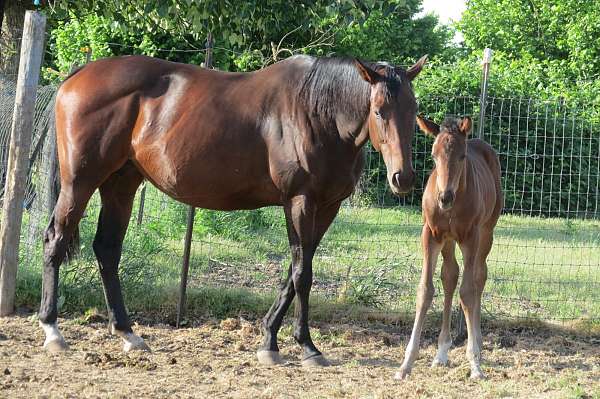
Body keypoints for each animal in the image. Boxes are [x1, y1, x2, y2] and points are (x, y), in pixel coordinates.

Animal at [37, 54, 428, 368]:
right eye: (378, 110)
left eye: (413, 112)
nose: (403, 177)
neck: (316, 113)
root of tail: (79, 75)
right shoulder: (300, 201)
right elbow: (303, 274)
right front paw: (307, 347)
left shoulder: (327, 207)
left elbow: (294, 272)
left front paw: (269, 341)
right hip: (80, 182)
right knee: (56, 239)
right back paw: (52, 330)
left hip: (121, 184)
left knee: (107, 249)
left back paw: (129, 335)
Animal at [396, 116, 504, 382]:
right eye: (433, 156)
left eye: (462, 156)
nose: (445, 198)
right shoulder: (431, 234)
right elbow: (425, 290)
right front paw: (406, 364)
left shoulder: (471, 236)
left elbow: (468, 292)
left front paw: (475, 363)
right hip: (448, 240)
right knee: (450, 275)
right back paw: (441, 352)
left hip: (487, 232)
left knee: (478, 277)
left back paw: (477, 345)